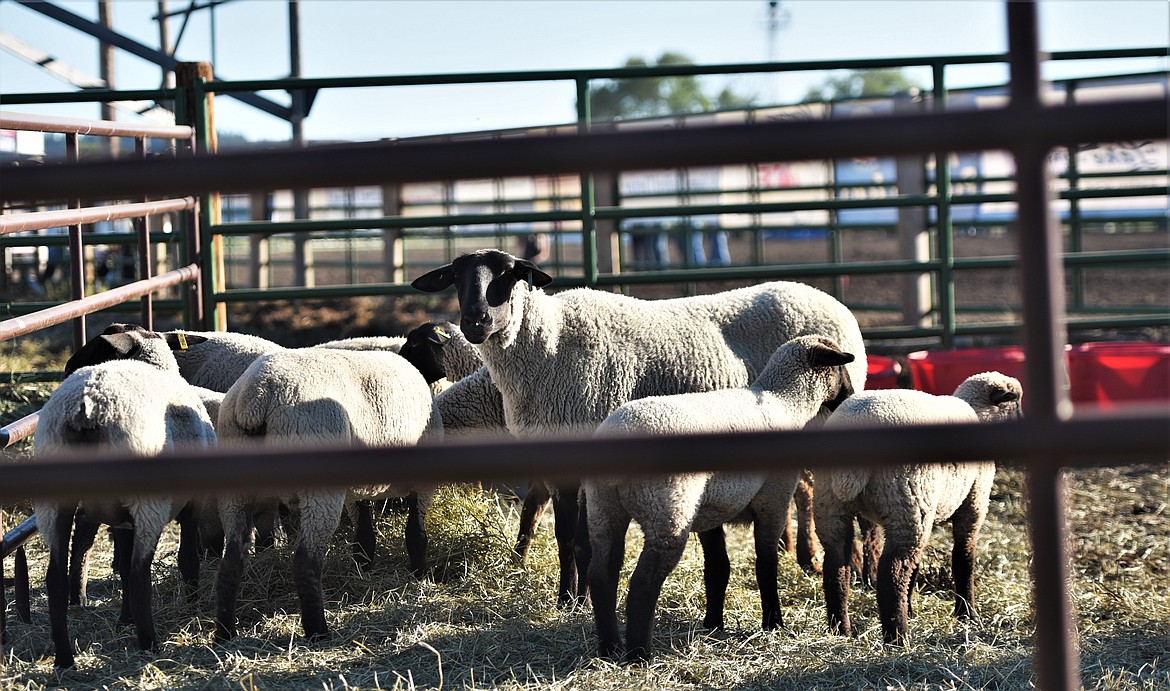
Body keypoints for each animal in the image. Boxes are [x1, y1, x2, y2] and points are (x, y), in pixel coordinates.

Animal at [33, 327, 217, 668]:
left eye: (94, 347)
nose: (67, 368)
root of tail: (88, 406)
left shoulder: (122, 518)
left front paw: (125, 619)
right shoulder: (193, 502)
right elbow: (187, 558)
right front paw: (192, 607)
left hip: (56, 502)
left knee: (56, 578)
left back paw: (64, 658)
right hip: (148, 503)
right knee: (139, 573)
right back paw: (150, 645)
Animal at [214, 346, 442, 645]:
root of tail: (257, 395)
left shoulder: (356, 490)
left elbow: (364, 535)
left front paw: (364, 568)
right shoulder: (422, 482)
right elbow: (416, 534)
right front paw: (420, 575)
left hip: (234, 491)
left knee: (232, 559)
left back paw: (224, 634)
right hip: (318, 486)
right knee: (306, 561)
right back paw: (318, 631)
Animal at [411, 249, 870, 607]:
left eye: (508, 274)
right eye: (456, 277)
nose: (476, 321)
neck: (548, 345)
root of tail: (826, 298)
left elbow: (580, 538)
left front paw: (578, 600)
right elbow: (561, 533)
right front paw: (567, 598)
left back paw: (848, 566)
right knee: (807, 489)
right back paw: (809, 556)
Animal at [589, 339, 856, 664]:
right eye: (841, 367)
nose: (850, 397)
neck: (784, 403)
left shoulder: (710, 510)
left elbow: (718, 567)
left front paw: (714, 623)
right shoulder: (774, 499)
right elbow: (766, 564)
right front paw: (773, 622)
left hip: (603, 508)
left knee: (601, 574)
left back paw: (609, 647)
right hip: (669, 508)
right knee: (643, 582)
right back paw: (640, 655)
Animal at [814, 369, 1024, 645]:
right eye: (1015, 403)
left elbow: (917, 565)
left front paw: (912, 606)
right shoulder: (974, 501)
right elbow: (964, 557)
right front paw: (966, 612)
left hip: (831, 505)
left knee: (836, 567)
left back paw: (841, 629)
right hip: (909, 504)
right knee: (892, 574)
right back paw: (898, 637)